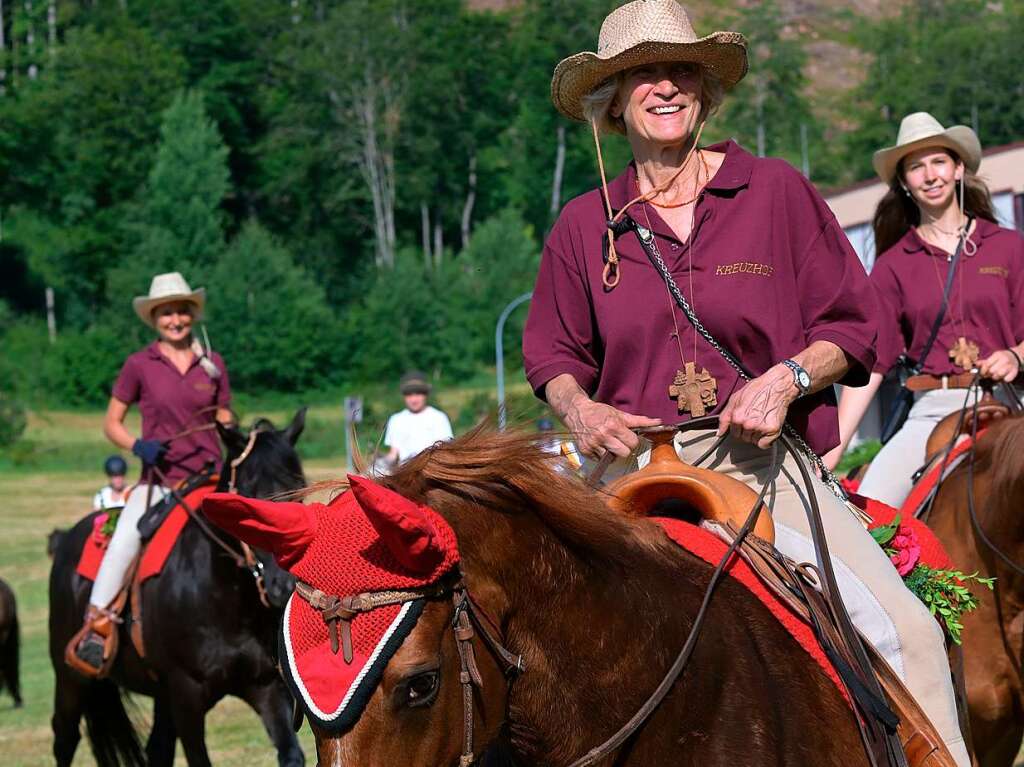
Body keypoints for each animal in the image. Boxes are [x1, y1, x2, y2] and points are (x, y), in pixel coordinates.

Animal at [47, 409, 307, 765]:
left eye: (299, 489)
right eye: (245, 494)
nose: (284, 582)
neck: (226, 598)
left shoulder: (267, 686)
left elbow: (291, 753)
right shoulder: (186, 696)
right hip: (71, 679)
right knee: (65, 738)